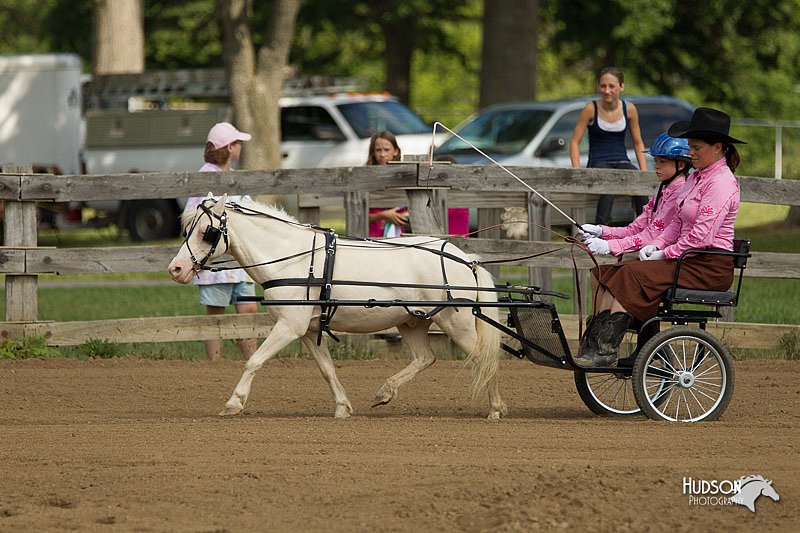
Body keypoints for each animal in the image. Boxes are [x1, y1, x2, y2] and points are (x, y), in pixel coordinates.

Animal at [169, 193, 506, 418]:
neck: (296, 259)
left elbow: (254, 361)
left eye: (207, 232)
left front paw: (234, 402)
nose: (175, 269)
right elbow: (327, 369)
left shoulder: (288, 327)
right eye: (187, 230)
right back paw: (385, 392)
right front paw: (343, 407)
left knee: (484, 358)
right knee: (426, 358)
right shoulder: (307, 331)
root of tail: (466, 259)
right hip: (412, 321)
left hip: (456, 324)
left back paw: (496, 408)